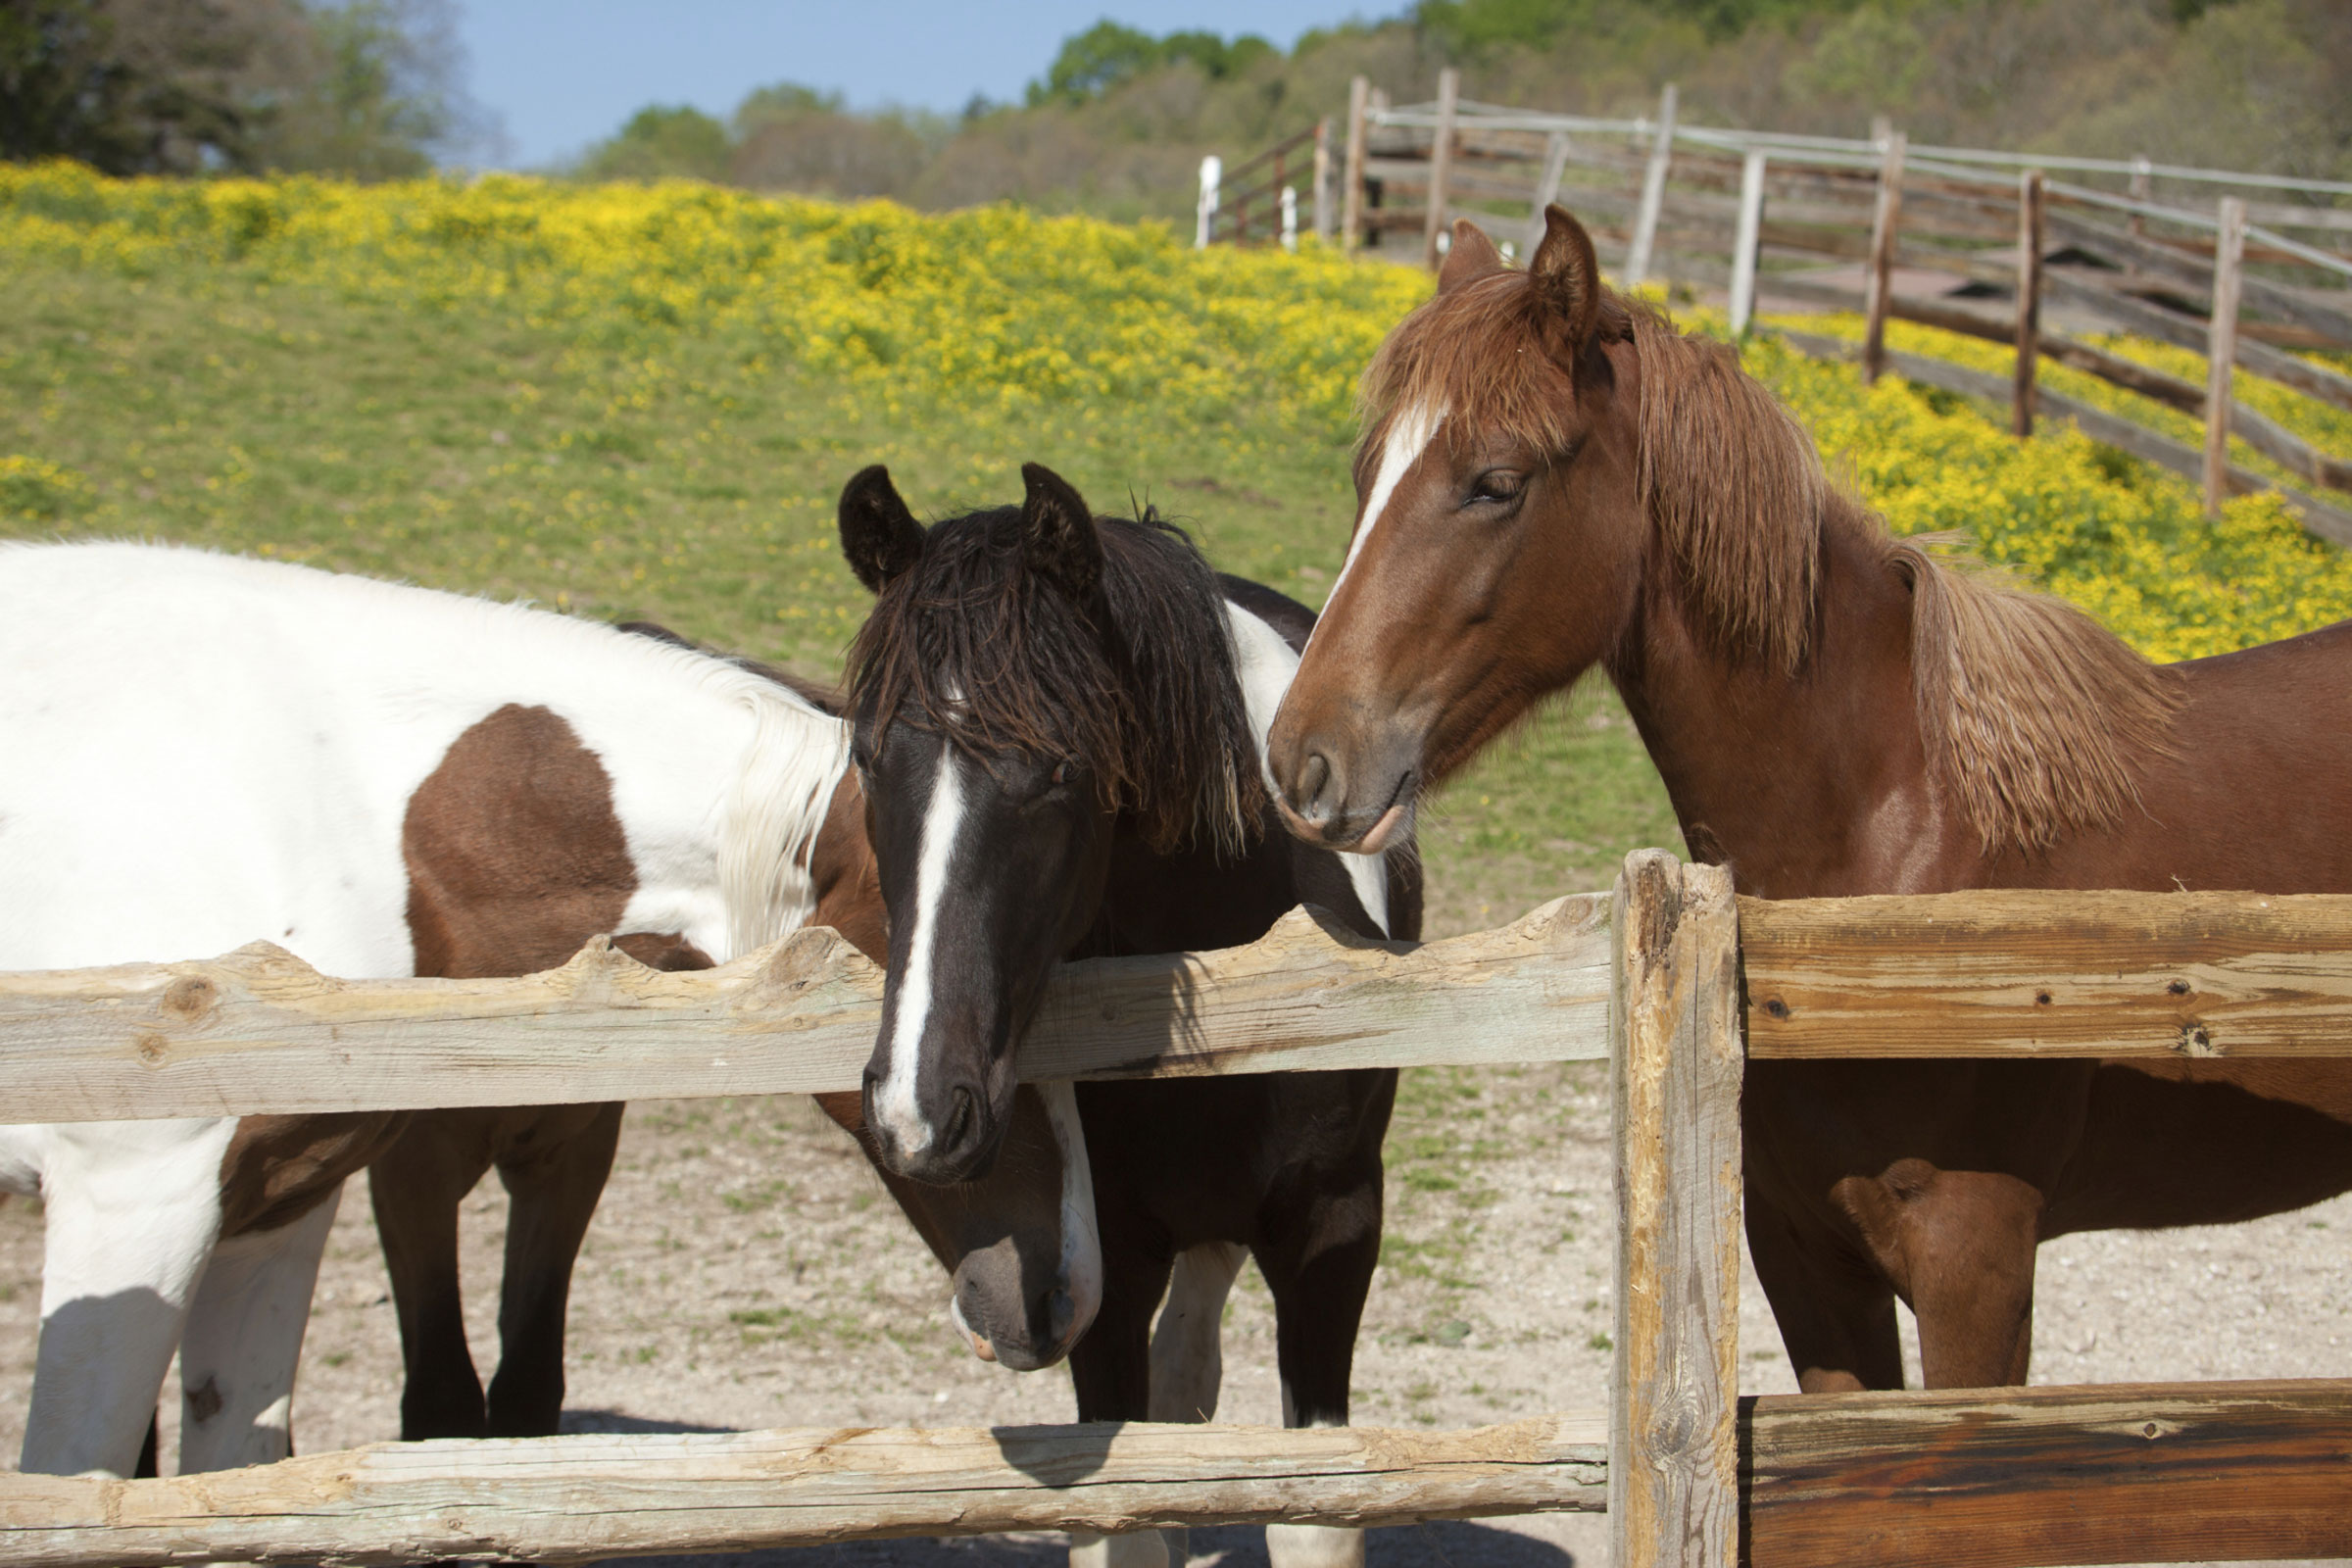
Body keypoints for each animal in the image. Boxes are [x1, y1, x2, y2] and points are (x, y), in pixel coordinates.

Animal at [1263, 206, 2352, 1395]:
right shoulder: (1804, 1256)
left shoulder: (1976, 1263)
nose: (1301, 760)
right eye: (1368, 473)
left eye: (1496, 482)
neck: (1897, 842)